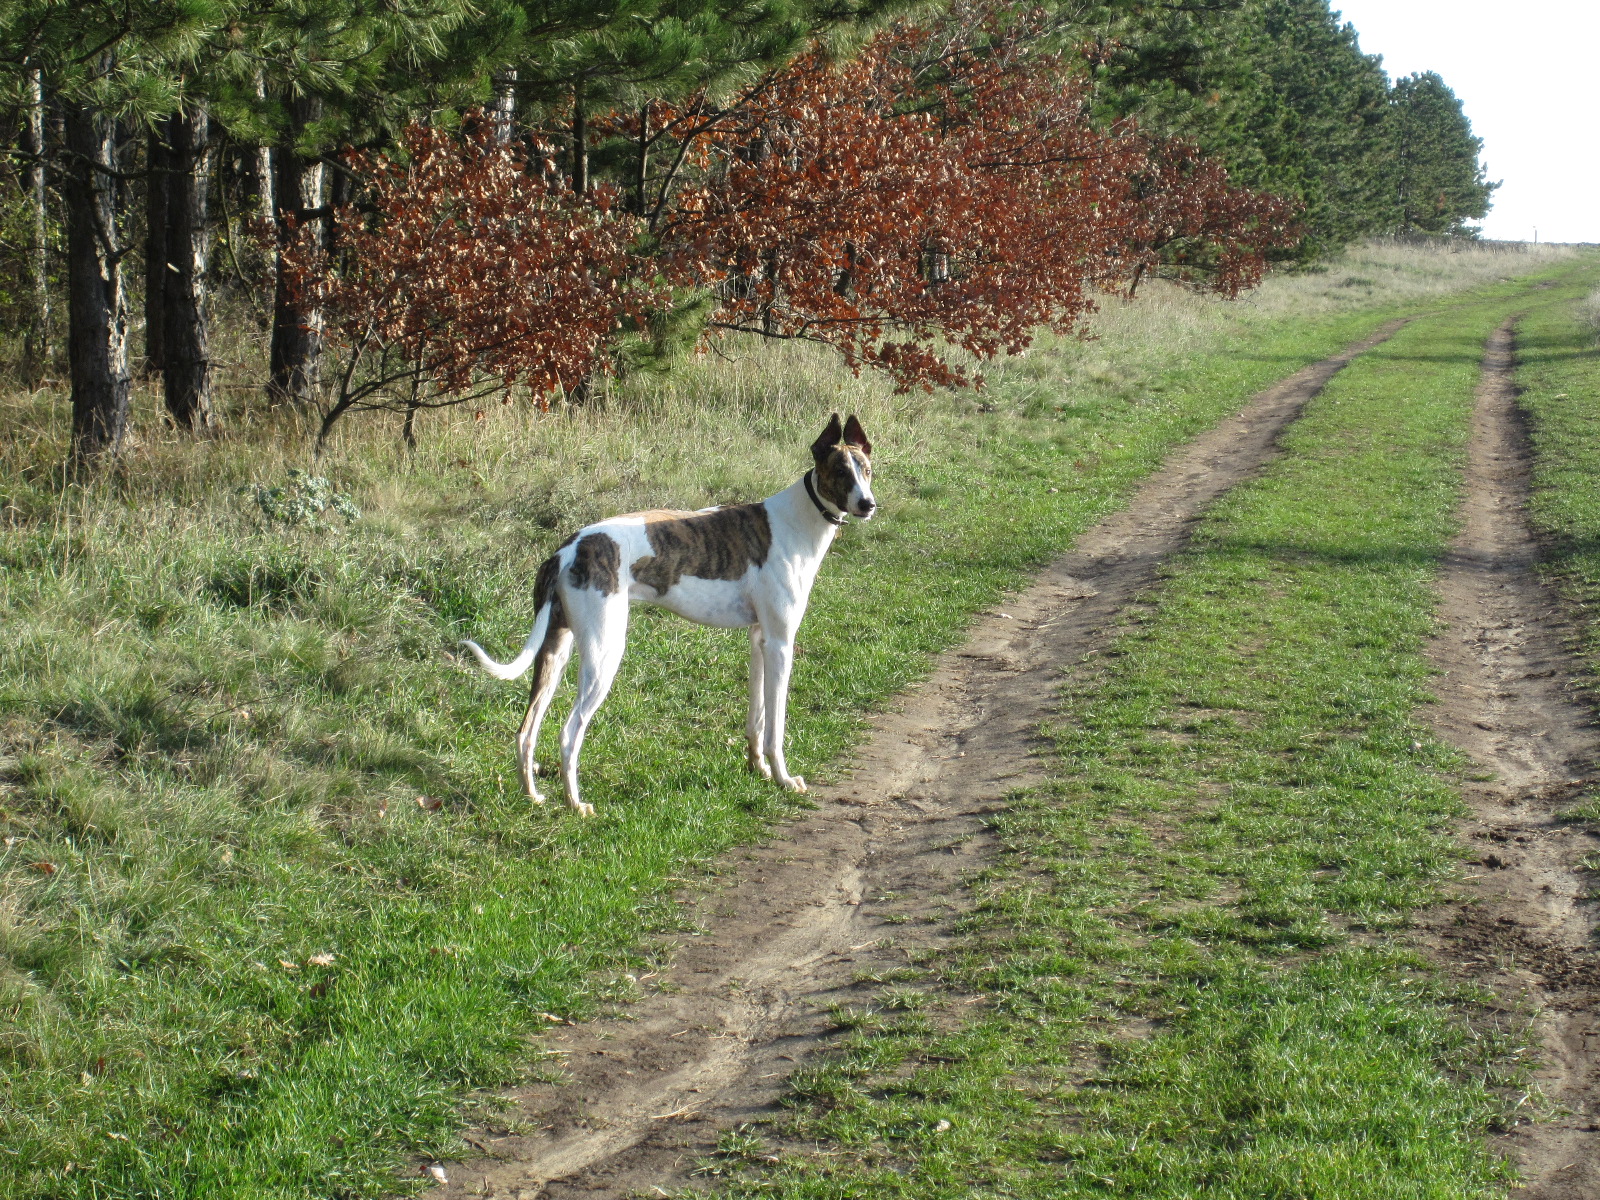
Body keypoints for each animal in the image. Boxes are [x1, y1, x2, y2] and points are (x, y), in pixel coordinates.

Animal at [464, 412, 883, 819]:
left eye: (866, 468)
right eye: (840, 471)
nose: (868, 505)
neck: (798, 520)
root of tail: (568, 549)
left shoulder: (760, 640)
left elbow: (757, 718)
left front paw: (759, 770)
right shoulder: (781, 644)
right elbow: (775, 726)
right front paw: (783, 779)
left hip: (555, 650)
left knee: (526, 730)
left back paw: (533, 796)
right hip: (603, 654)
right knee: (569, 733)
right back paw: (576, 805)